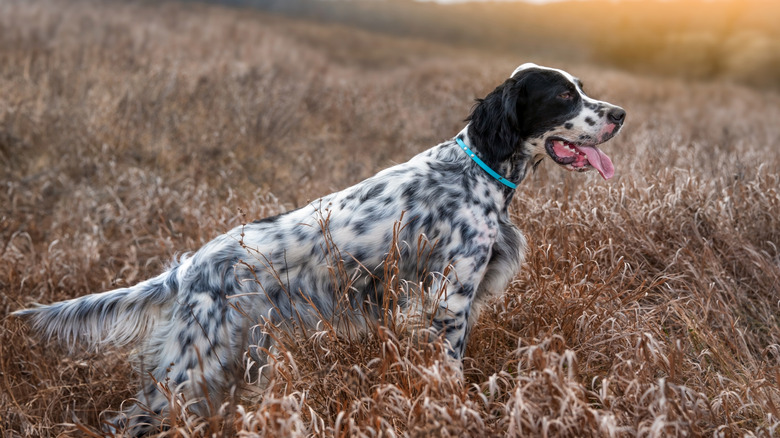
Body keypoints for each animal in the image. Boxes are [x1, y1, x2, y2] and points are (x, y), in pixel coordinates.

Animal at [13, 63, 628, 432]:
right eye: (564, 95)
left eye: (580, 89)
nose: (621, 114)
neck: (478, 169)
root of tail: (190, 266)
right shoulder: (450, 302)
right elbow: (451, 373)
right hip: (195, 361)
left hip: (231, 360)